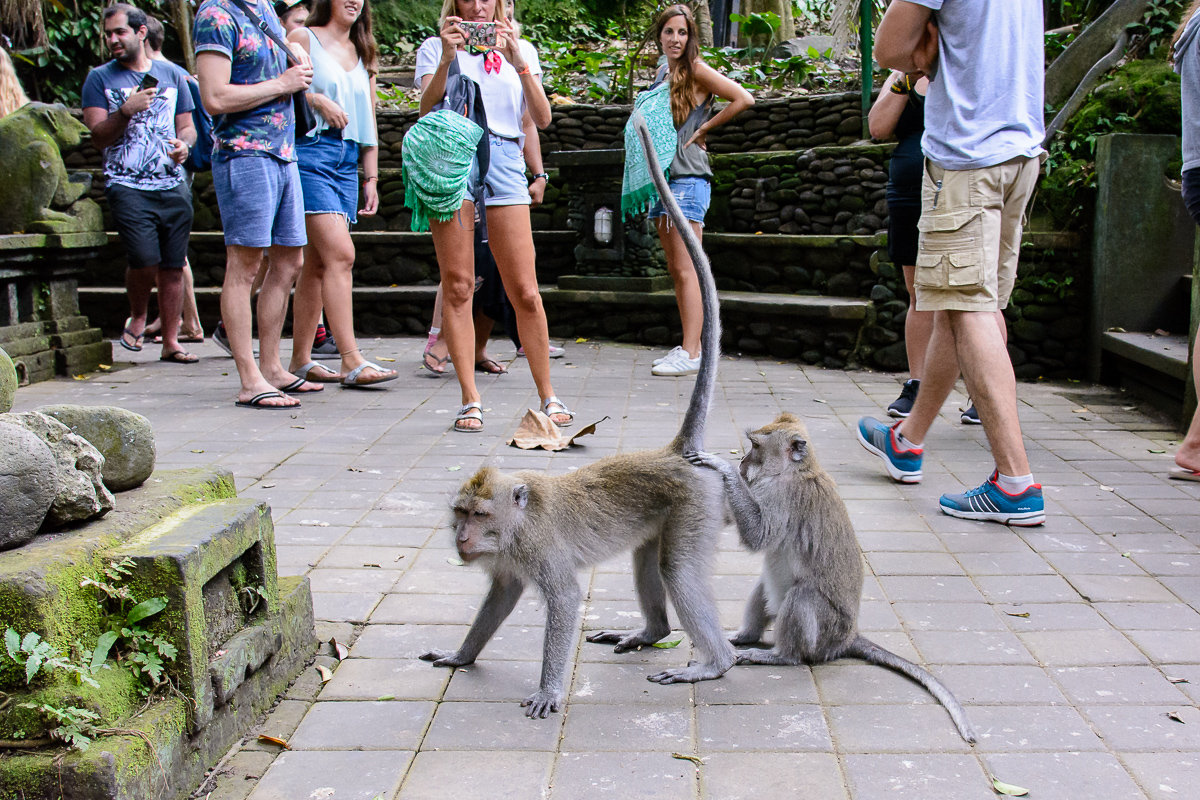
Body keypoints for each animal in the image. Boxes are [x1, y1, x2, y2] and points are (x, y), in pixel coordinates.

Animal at [422, 115, 739, 724]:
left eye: (478, 515)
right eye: (460, 514)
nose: (462, 539)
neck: (516, 524)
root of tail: (672, 451)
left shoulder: (539, 549)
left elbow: (565, 601)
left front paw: (548, 690)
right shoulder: (506, 562)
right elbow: (500, 598)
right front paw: (460, 655)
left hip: (695, 507)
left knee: (677, 570)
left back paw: (716, 662)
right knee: (648, 561)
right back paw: (650, 633)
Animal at [686, 417, 974, 748]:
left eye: (756, 446)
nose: (743, 461)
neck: (796, 471)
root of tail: (848, 637)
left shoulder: (783, 495)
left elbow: (758, 535)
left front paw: (722, 467)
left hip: (827, 632)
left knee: (802, 596)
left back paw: (779, 656)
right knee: (764, 586)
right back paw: (744, 636)